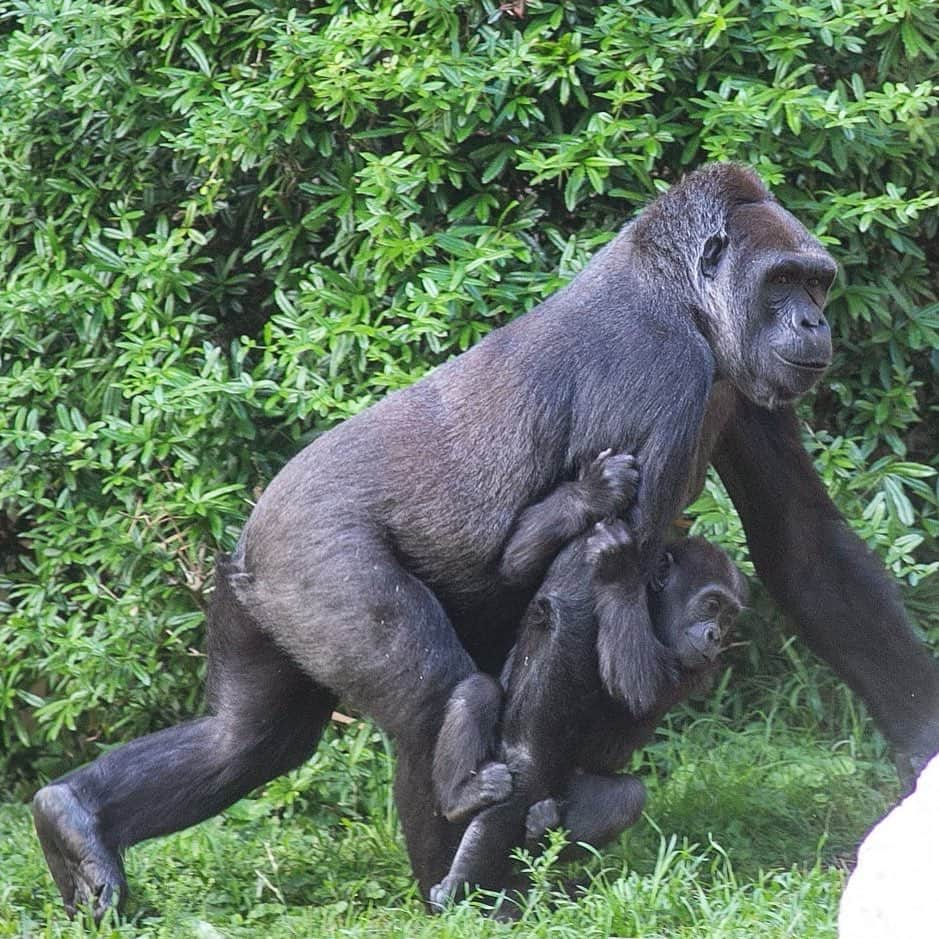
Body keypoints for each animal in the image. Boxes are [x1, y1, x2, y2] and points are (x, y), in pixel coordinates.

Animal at [430, 516, 744, 908]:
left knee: (625, 797)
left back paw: (541, 830)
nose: (717, 635)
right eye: (712, 604)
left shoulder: (699, 669)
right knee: (478, 691)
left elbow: (643, 685)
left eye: (730, 616)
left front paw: (617, 572)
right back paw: (461, 798)